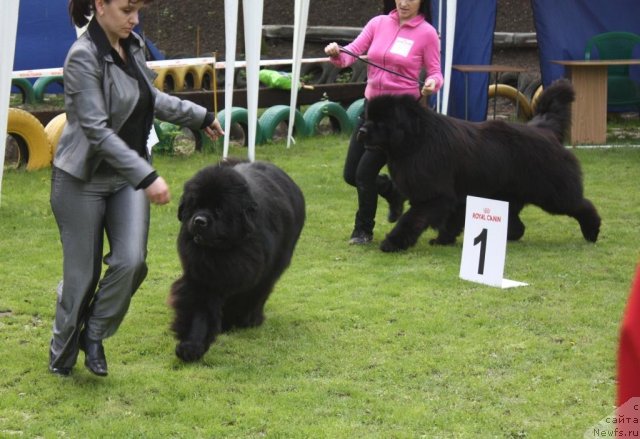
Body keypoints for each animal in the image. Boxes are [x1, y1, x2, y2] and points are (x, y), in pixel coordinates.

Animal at [170, 160, 304, 362]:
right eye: (195, 204)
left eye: (219, 209)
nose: (199, 221)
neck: (223, 251)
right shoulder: (202, 276)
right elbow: (199, 310)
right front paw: (191, 346)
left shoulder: (256, 273)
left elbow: (249, 295)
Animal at [360, 77, 600, 253]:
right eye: (367, 118)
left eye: (380, 122)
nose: (361, 131)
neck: (416, 139)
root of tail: (544, 129)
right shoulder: (456, 196)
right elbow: (451, 220)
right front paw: (443, 240)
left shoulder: (435, 195)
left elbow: (411, 219)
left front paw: (392, 242)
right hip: (506, 194)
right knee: (518, 225)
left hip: (552, 193)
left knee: (580, 204)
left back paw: (592, 230)